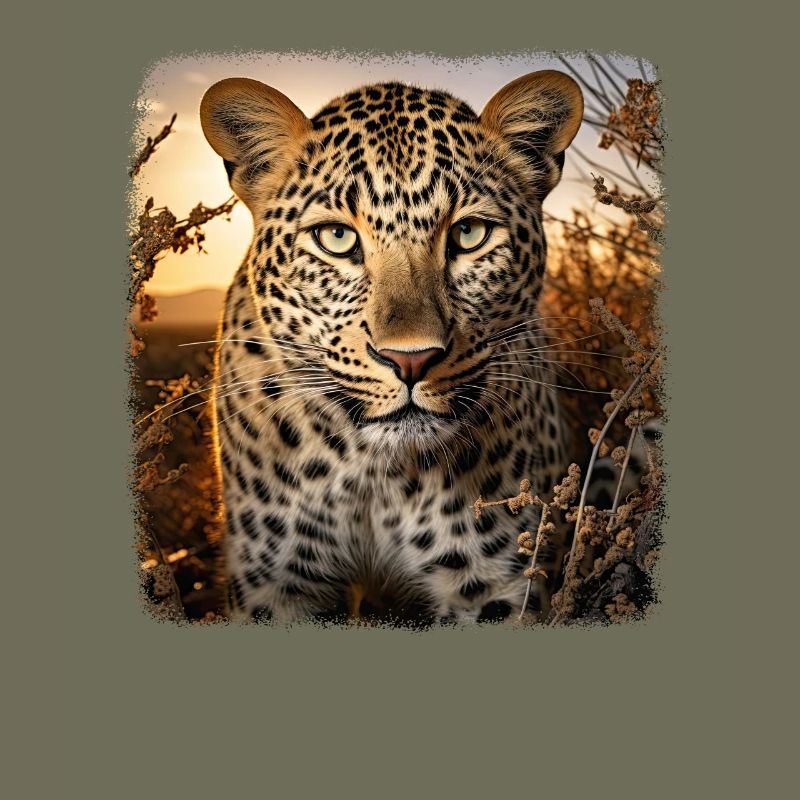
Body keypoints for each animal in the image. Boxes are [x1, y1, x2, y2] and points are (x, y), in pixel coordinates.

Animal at [199, 70, 585, 624]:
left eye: (469, 233)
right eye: (336, 238)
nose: (411, 359)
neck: (376, 476)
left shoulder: (494, 585)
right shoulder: (277, 584)